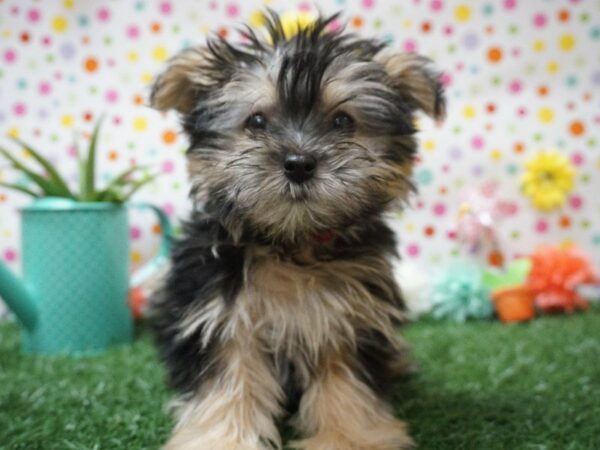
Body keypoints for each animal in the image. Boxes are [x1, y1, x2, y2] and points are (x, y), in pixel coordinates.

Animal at [150, 11, 446, 450]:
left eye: (342, 121)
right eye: (256, 121)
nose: (299, 163)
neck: (292, 243)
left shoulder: (349, 316)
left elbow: (345, 385)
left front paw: (348, 437)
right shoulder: (219, 314)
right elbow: (229, 381)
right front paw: (225, 437)